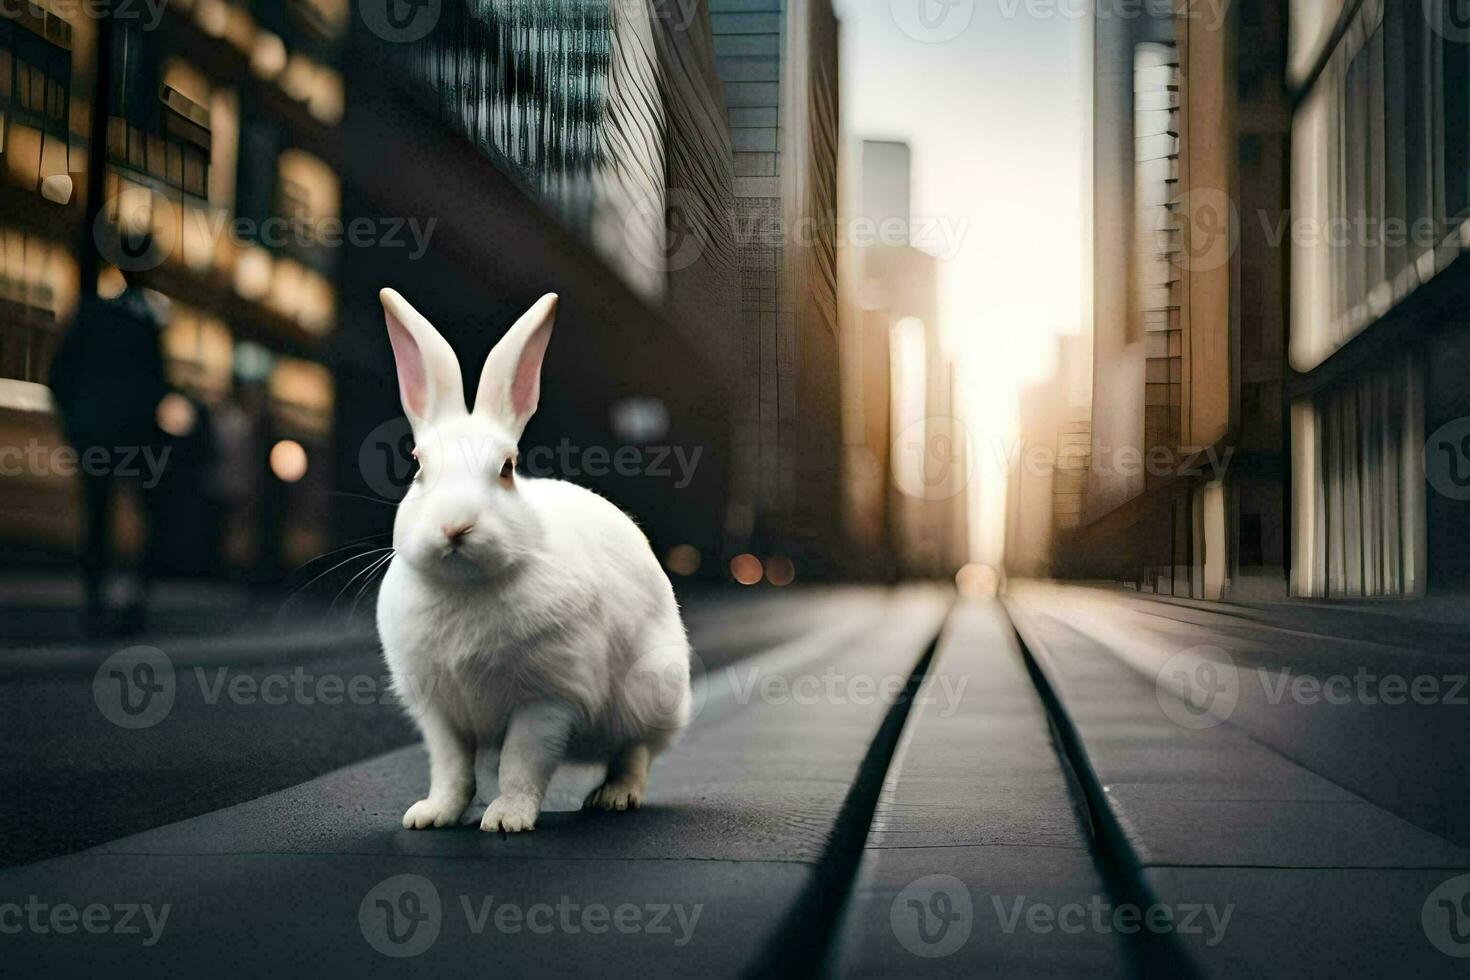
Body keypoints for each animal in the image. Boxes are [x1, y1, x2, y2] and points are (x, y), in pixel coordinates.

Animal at [367, 287, 687, 834]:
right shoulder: (439, 711)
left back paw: (614, 796)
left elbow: (522, 762)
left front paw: (507, 820)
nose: (455, 526)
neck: (466, 585)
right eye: (417, 466)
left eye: (507, 468)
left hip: (648, 693)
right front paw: (432, 815)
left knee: (635, 752)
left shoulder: (546, 700)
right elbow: (451, 769)